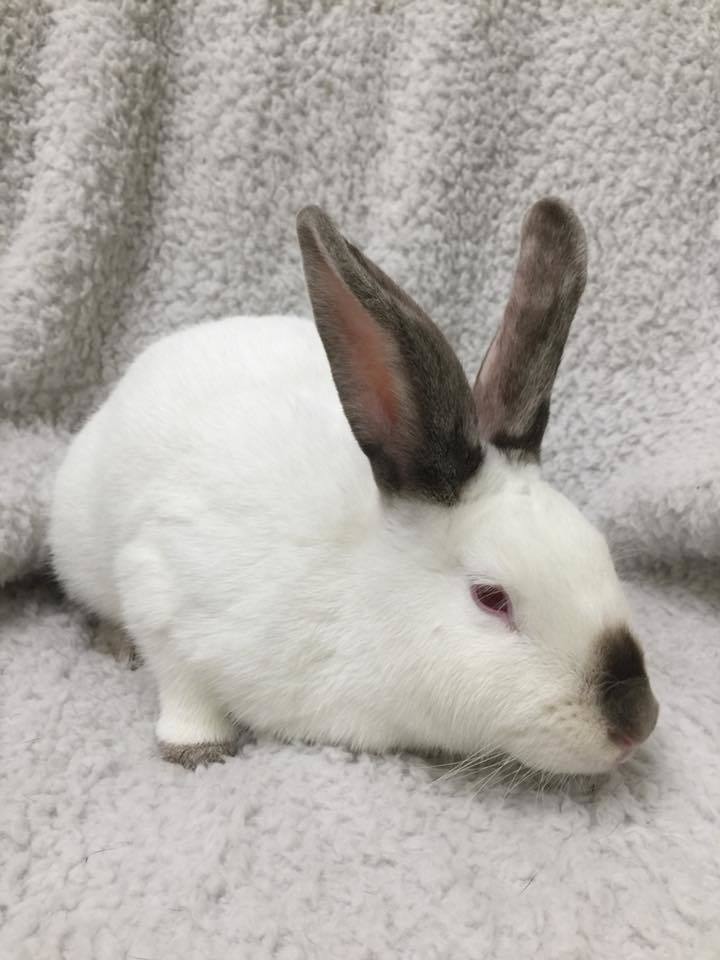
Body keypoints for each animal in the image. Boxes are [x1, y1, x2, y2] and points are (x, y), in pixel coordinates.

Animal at [49, 198, 658, 773]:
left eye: (601, 554)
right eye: (491, 598)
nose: (639, 722)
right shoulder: (161, 586)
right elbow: (183, 685)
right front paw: (197, 749)